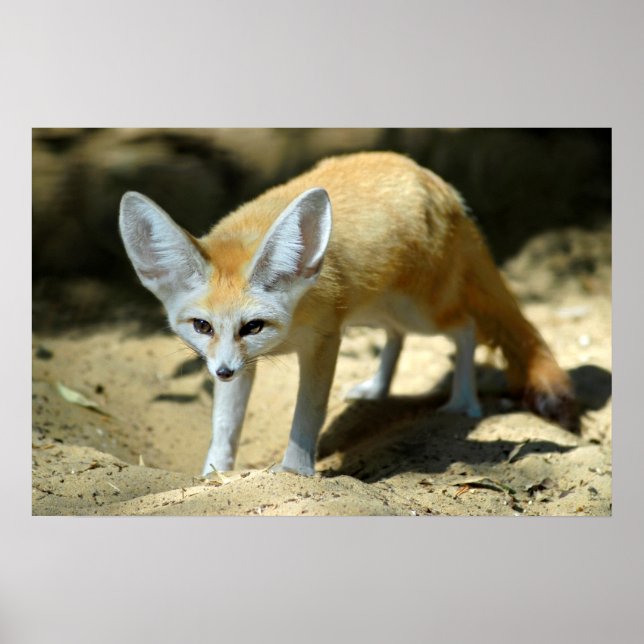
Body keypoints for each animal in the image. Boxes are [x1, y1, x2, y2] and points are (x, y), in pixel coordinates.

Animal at [119, 151, 576, 477]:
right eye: (202, 326)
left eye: (253, 326)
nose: (223, 372)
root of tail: (432, 179)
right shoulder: (246, 362)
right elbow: (225, 426)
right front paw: (213, 474)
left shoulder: (324, 341)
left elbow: (308, 414)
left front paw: (295, 470)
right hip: (373, 312)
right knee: (397, 336)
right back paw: (377, 388)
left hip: (419, 312)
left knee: (465, 328)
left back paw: (463, 401)